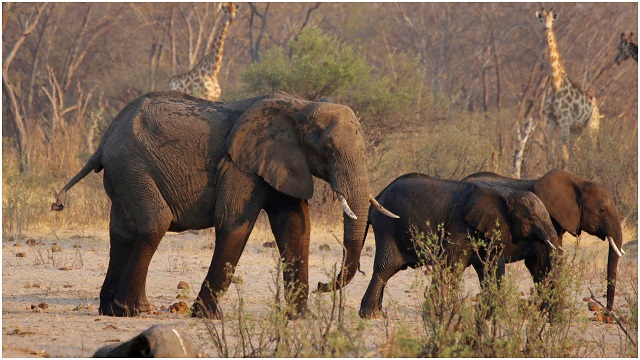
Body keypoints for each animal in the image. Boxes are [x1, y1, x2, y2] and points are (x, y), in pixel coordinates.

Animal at [52, 90, 398, 318]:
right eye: (327, 149)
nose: (325, 284)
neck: (302, 105)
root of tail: (104, 140)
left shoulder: (283, 163)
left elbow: (296, 228)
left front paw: (299, 318)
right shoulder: (240, 166)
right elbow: (234, 224)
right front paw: (205, 317)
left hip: (122, 173)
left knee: (122, 232)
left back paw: (110, 310)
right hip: (132, 167)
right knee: (153, 225)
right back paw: (135, 310)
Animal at [360, 174, 560, 318]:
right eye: (531, 219)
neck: (505, 194)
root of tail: (376, 197)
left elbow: (492, 267)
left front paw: (492, 315)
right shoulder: (460, 225)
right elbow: (452, 265)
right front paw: (436, 315)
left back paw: (376, 314)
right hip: (387, 225)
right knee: (386, 267)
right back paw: (371, 316)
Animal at [536, 8, 604, 169]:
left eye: (552, 20)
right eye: (541, 19)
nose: (546, 28)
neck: (555, 85)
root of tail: (597, 106)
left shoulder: (564, 120)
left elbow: (563, 158)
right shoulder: (550, 120)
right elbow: (551, 157)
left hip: (592, 126)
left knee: (591, 152)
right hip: (577, 129)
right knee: (575, 152)